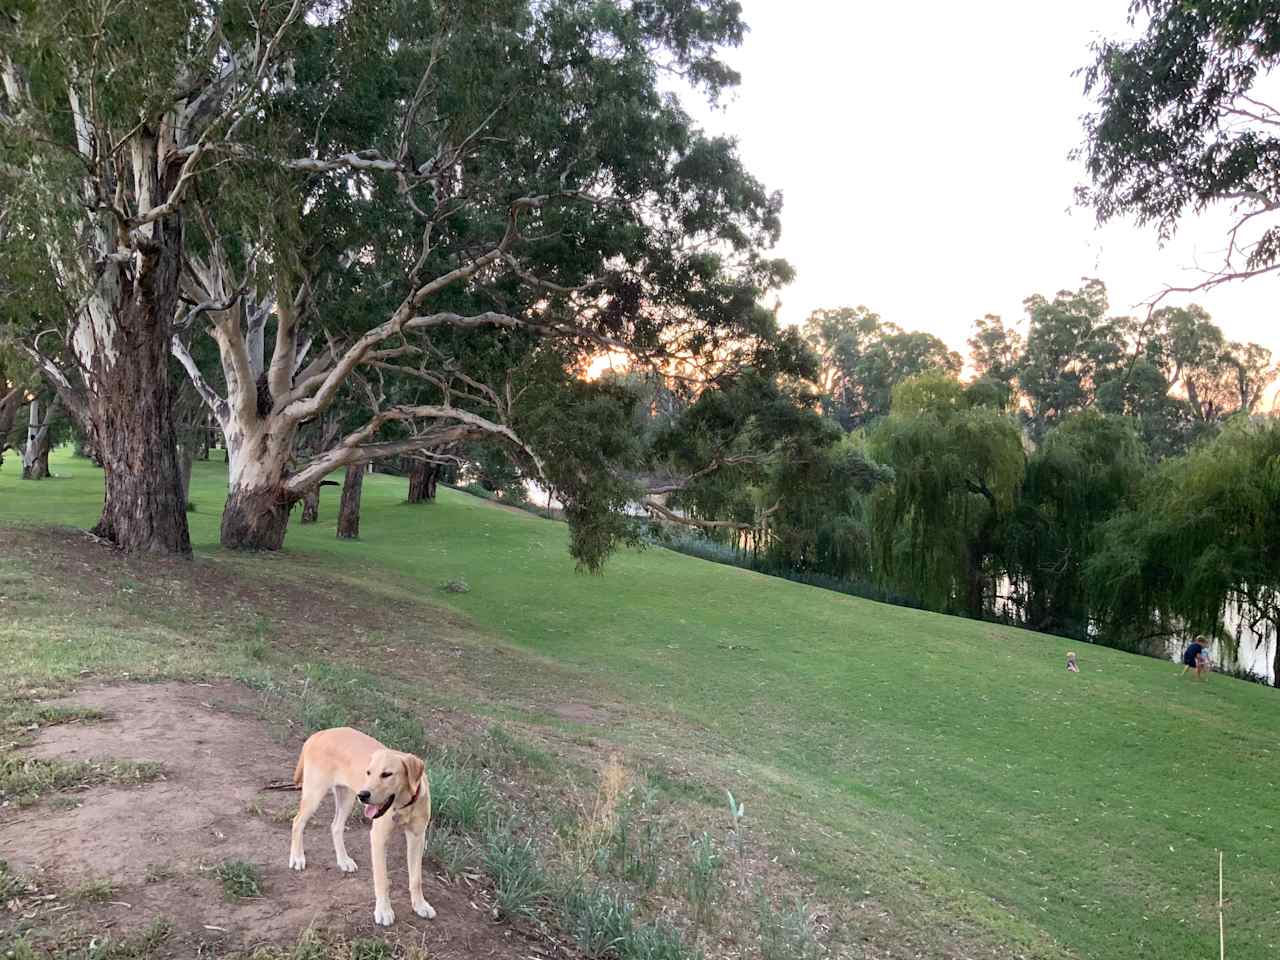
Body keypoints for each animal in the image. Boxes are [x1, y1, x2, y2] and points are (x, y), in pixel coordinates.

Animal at [289, 727, 437, 926]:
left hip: (347, 797)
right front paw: (384, 911)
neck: (403, 805)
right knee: (297, 822)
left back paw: (343, 860)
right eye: (368, 772)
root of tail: (321, 733)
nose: (364, 795)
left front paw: (420, 905)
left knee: (335, 826)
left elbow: (416, 879)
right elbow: (382, 880)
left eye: (387, 774)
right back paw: (297, 857)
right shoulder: (378, 839)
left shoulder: (417, 838)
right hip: (315, 793)